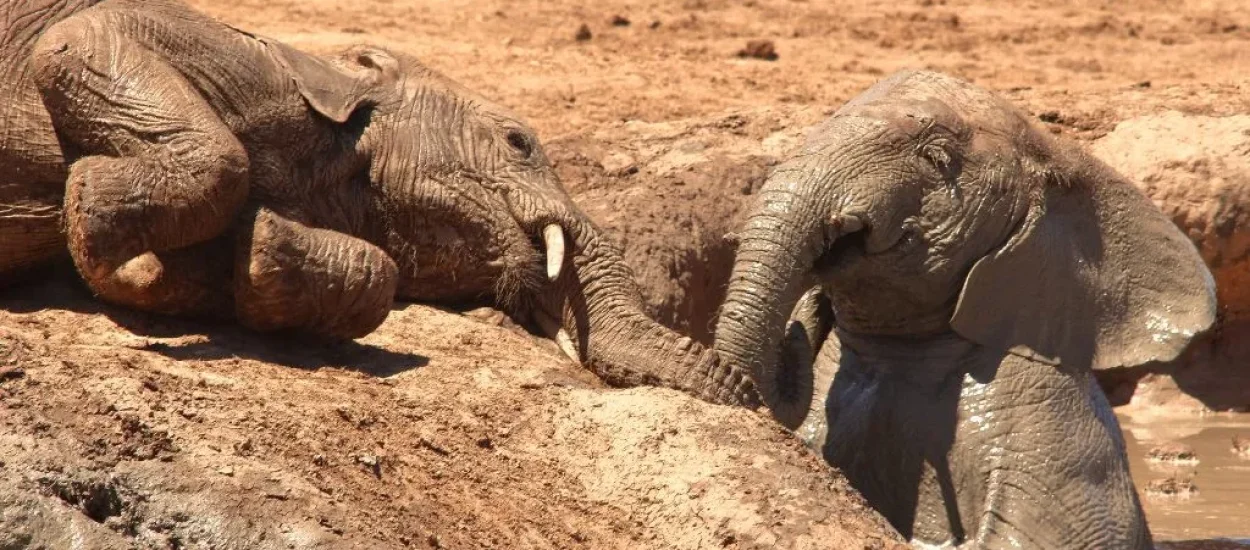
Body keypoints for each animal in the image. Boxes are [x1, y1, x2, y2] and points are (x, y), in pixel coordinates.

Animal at [0, 1, 755, 407]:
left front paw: (245, 250)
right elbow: (80, 39)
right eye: (517, 140)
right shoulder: (221, 54)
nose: (752, 393)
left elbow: (375, 273)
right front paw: (93, 213)